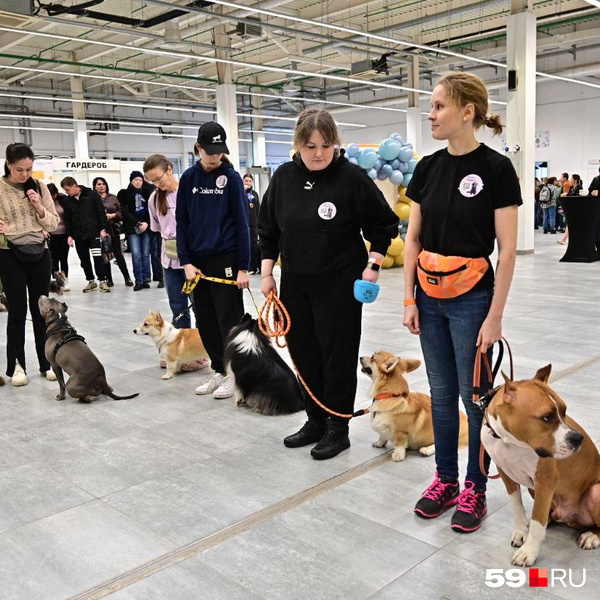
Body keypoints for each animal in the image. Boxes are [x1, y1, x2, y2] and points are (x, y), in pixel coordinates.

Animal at [482, 365, 600, 566]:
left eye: (564, 411)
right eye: (547, 417)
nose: (578, 439)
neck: (511, 442)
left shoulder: (545, 481)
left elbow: (538, 522)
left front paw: (528, 552)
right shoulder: (506, 474)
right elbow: (517, 506)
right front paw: (522, 531)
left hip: (595, 491)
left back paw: (592, 536)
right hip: (534, 490)